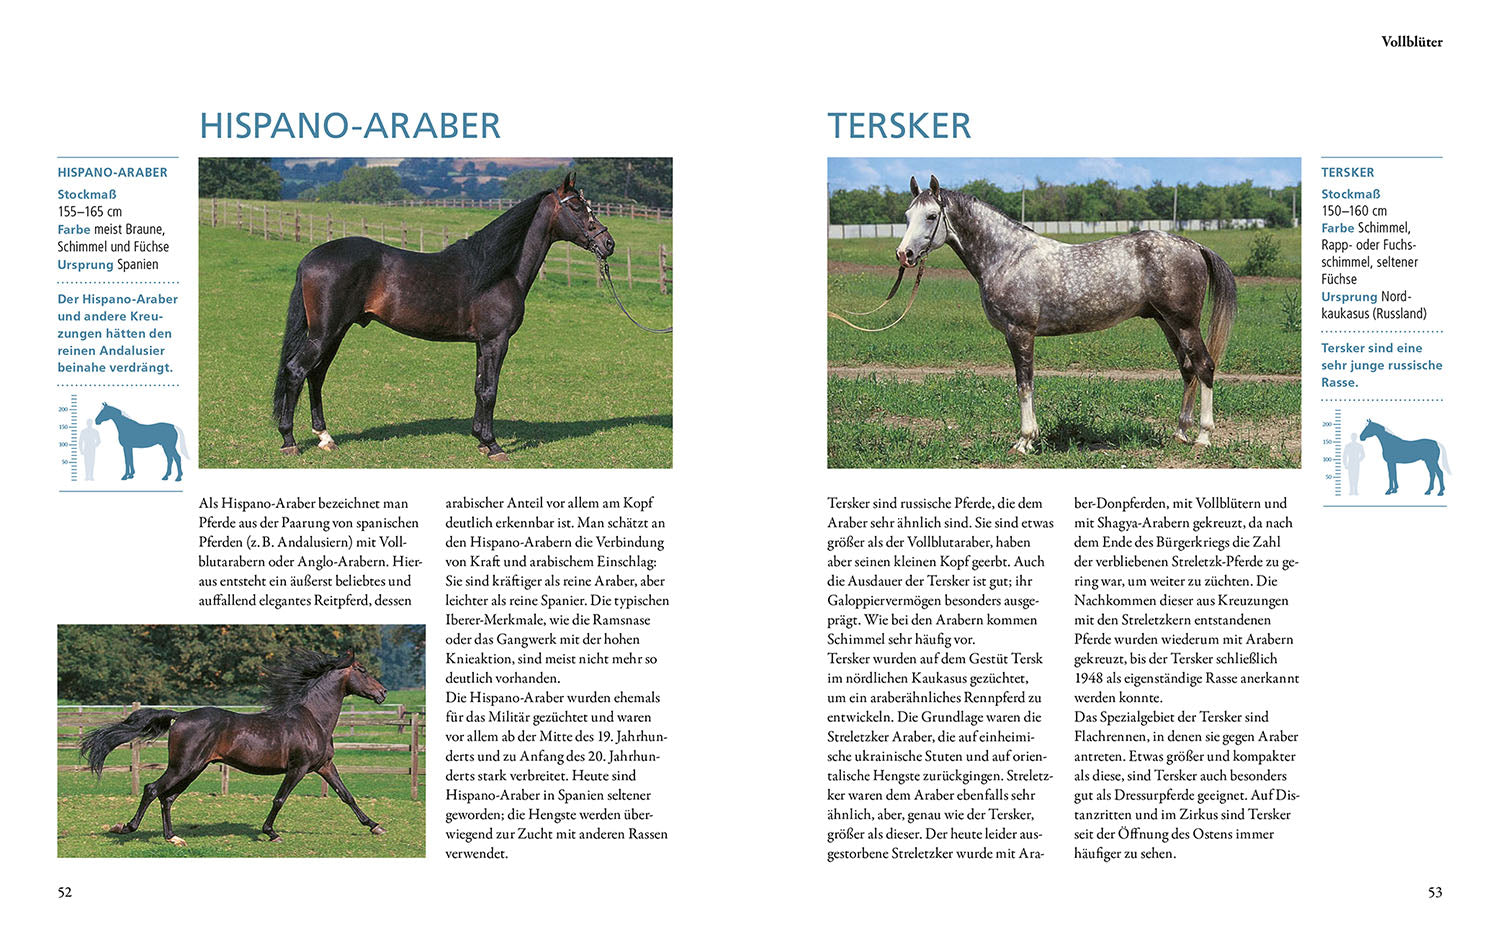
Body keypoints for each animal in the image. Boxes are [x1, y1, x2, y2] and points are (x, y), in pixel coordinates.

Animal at [80, 649, 389, 845]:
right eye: (362, 670)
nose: (383, 693)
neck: (312, 719)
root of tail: (180, 716)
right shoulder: (298, 768)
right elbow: (279, 799)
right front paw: (271, 833)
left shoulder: (324, 766)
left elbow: (347, 796)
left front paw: (375, 826)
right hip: (183, 766)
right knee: (152, 789)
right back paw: (127, 828)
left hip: (194, 767)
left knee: (167, 798)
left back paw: (173, 838)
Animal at [273, 172, 616, 460]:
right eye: (577, 207)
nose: (608, 243)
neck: (498, 270)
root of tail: (310, 257)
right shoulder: (496, 341)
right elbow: (490, 390)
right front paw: (493, 446)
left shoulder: (482, 343)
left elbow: (479, 387)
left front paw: (480, 439)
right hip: (325, 333)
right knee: (296, 371)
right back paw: (289, 441)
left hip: (336, 331)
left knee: (316, 375)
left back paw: (325, 437)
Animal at [889, 176, 1237, 453]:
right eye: (907, 216)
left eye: (931, 215)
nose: (904, 254)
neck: (1007, 257)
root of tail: (1194, 245)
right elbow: (1026, 384)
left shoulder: (1019, 332)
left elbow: (1024, 384)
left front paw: (1025, 441)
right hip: (1167, 323)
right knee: (1188, 370)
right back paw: (1180, 433)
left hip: (1185, 323)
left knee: (1204, 366)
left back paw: (1203, 437)